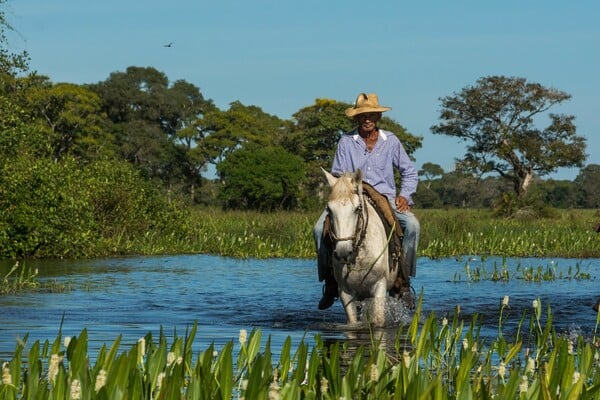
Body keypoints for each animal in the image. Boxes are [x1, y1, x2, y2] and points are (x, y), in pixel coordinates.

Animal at [324, 167, 398, 326]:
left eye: (357, 209)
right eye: (329, 209)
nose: (343, 252)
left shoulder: (379, 286)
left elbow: (378, 320)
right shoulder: (345, 292)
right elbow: (352, 321)